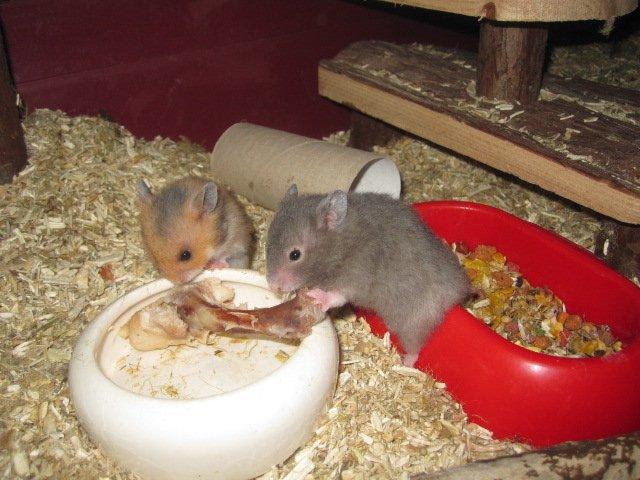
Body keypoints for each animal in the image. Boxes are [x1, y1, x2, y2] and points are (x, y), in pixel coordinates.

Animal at [266, 185, 471, 366]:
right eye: (267, 245)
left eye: (295, 254)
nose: (273, 287)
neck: (341, 246)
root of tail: (459, 290)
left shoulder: (357, 276)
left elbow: (338, 296)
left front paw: (316, 296)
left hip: (414, 319)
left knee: (415, 345)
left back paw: (405, 362)